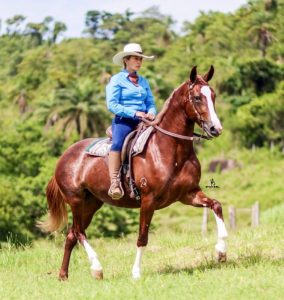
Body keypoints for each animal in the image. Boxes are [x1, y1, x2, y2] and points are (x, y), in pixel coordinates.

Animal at [38, 66, 227, 282]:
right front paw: (136, 273)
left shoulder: (189, 194)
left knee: (71, 234)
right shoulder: (148, 201)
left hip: (91, 203)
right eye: (197, 97)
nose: (215, 128)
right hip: (75, 200)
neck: (171, 149)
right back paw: (97, 268)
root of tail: (64, 157)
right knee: (79, 232)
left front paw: (221, 252)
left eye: (213, 95)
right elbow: (142, 237)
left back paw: (63, 275)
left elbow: (216, 205)